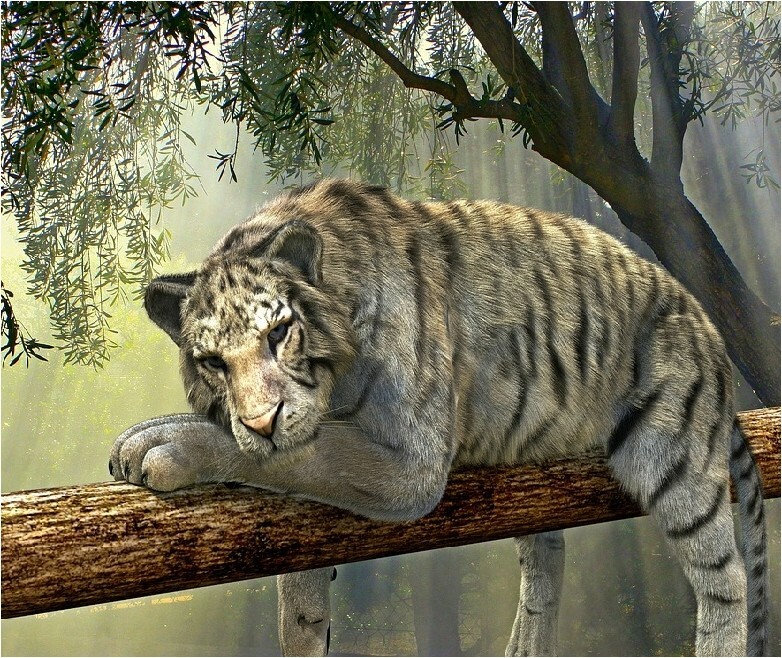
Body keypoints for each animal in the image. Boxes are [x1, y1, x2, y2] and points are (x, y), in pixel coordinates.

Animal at [110, 178, 768, 656]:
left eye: (279, 332)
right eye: (212, 361)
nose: (262, 421)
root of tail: (704, 321)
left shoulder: (410, 467)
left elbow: (305, 454)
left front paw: (161, 444)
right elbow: (299, 587)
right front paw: (304, 628)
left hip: (674, 461)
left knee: (725, 582)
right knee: (547, 557)